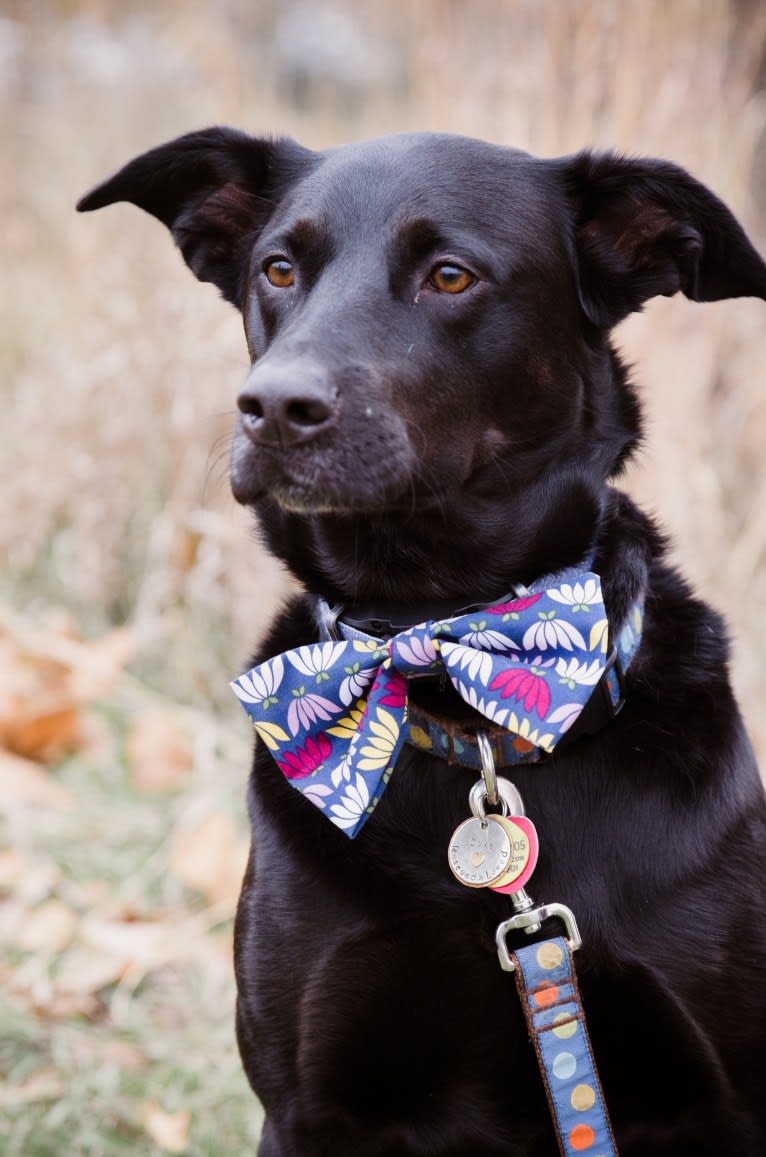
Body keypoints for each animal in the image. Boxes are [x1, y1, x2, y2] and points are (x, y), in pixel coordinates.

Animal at [78, 131, 766, 1152]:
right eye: (278, 269)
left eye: (450, 276)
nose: (272, 407)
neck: (441, 658)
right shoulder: (307, 1104)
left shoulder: (726, 1095)